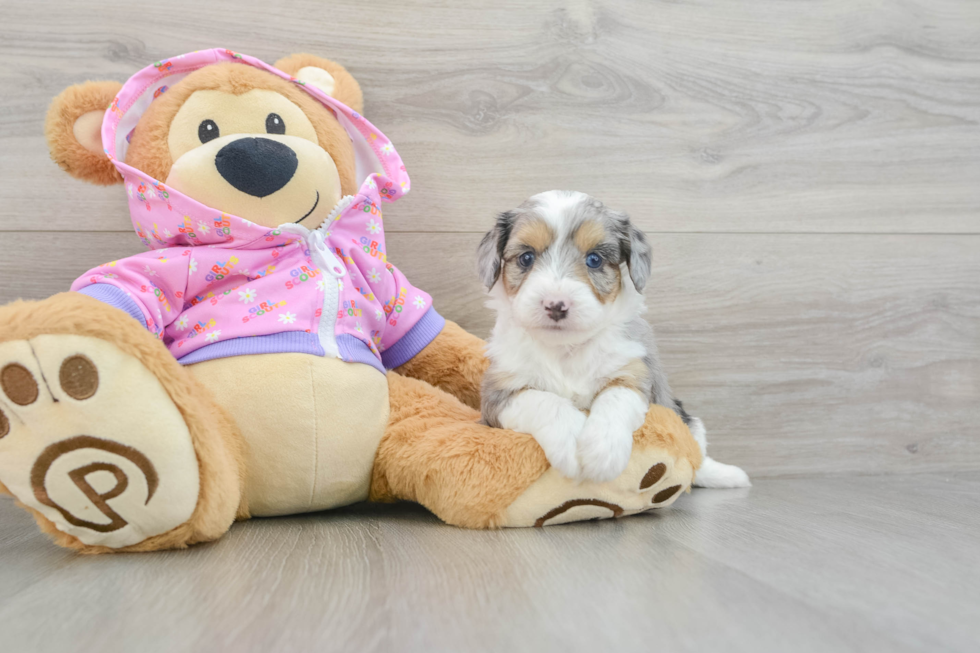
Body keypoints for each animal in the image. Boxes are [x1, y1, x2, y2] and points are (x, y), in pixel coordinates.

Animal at [478, 188, 748, 484]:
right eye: (526, 258)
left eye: (594, 259)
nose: (556, 305)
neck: (565, 349)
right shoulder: (497, 393)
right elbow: (543, 401)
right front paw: (571, 442)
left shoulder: (634, 373)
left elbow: (616, 398)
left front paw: (603, 452)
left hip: (685, 417)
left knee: (697, 457)